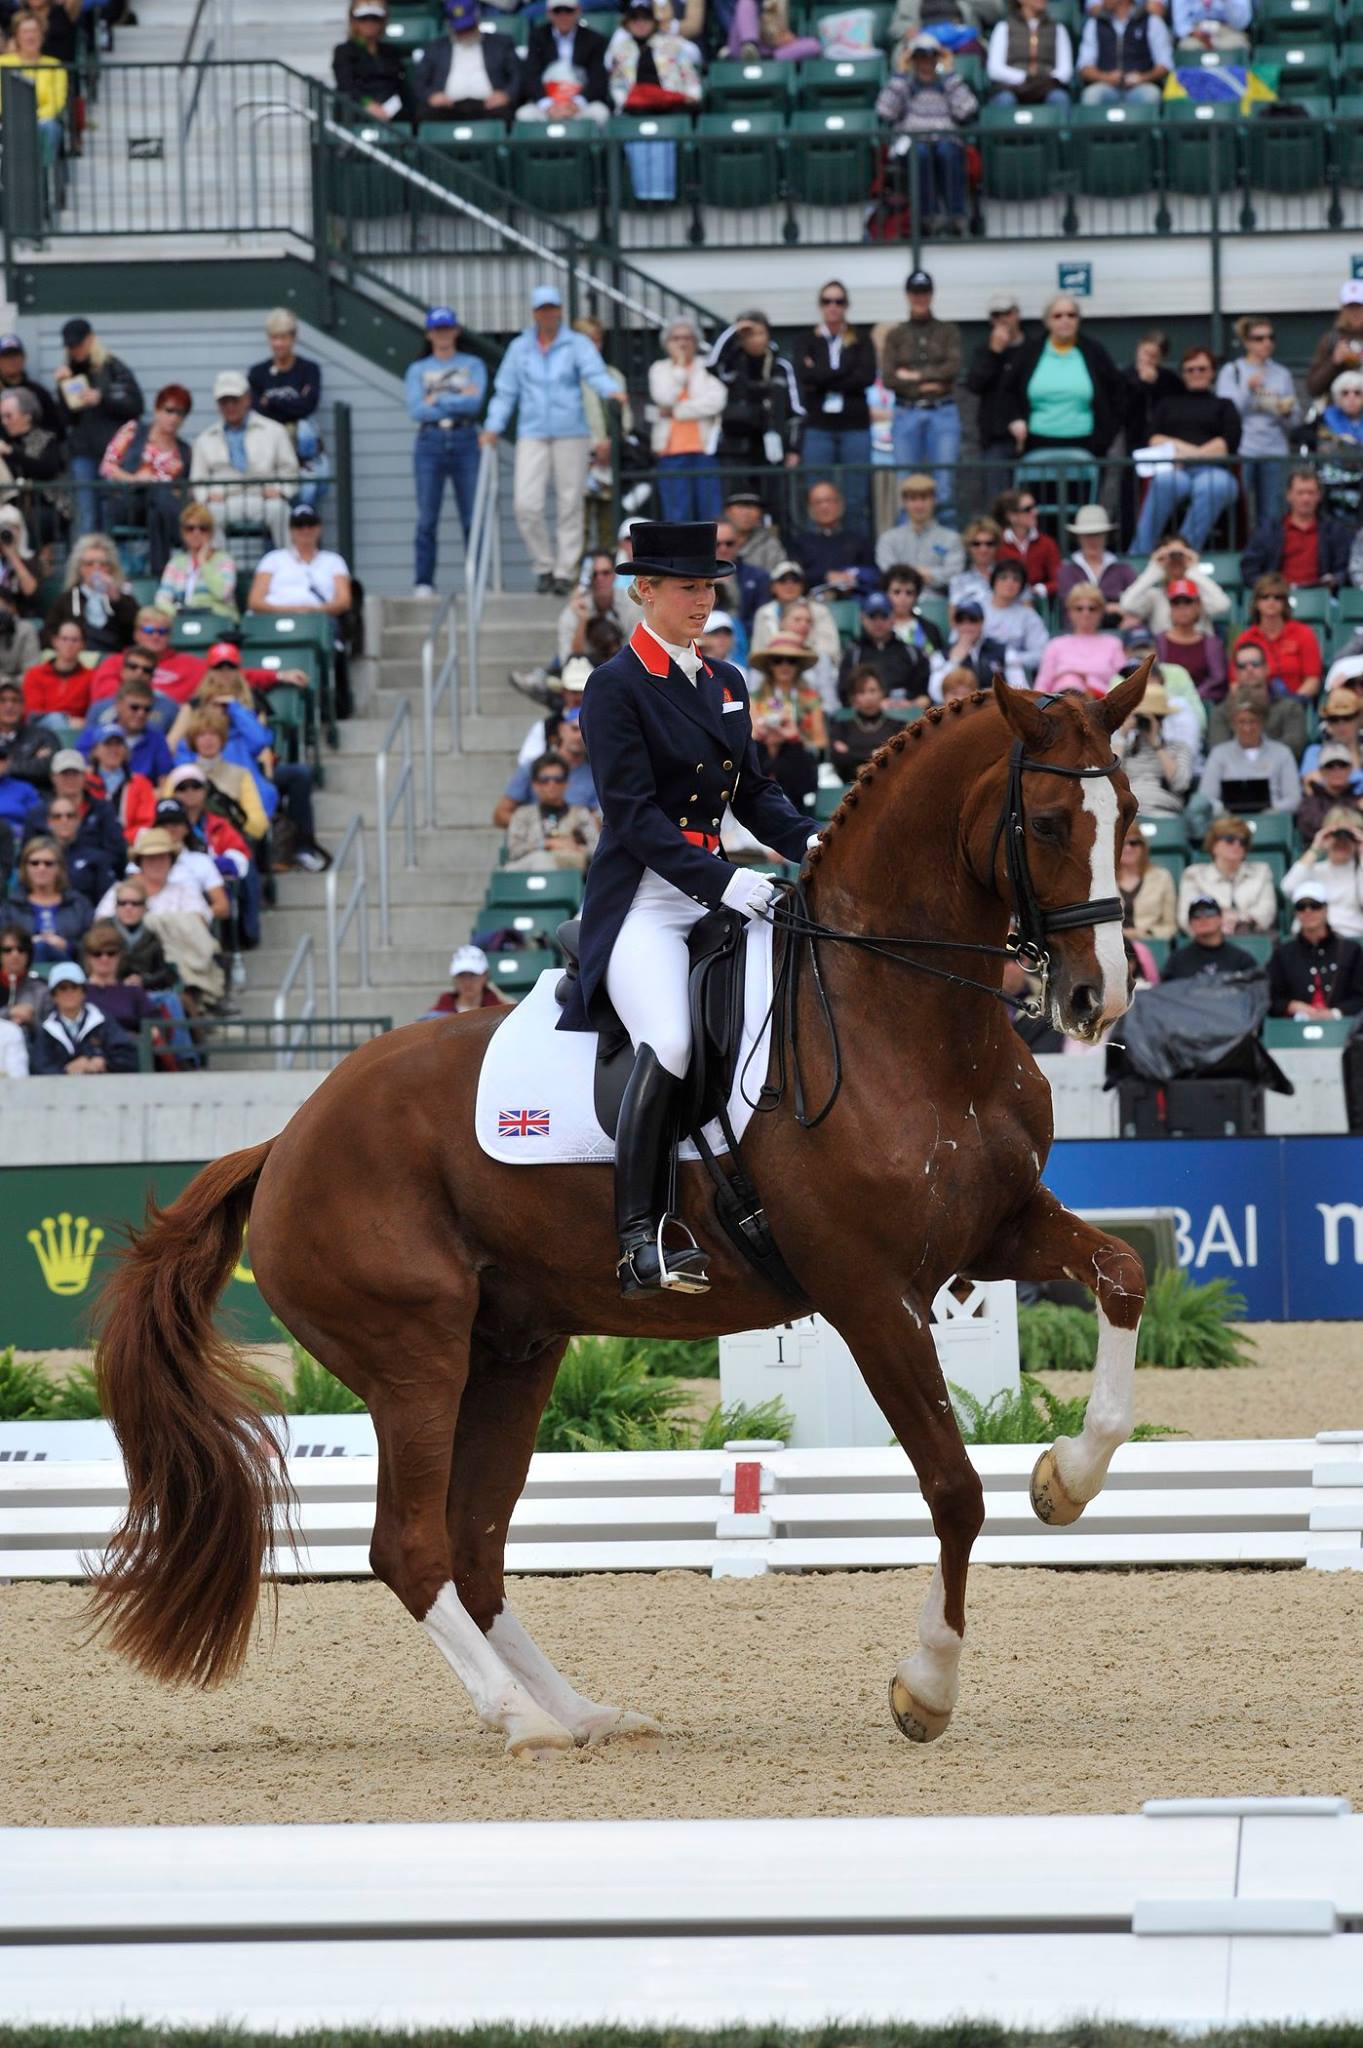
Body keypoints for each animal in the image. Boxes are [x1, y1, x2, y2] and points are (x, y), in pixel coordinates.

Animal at [90, 675, 1146, 1761]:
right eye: (1051, 821)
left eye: (1127, 816)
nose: (1095, 998)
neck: (902, 1012)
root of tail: (287, 1140)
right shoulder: (869, 1294)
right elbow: (953, 1488)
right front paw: (925, 1686)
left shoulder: (996, 1228)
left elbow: (1121, 1274)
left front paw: (1064, 1478)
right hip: (414, 1358)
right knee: (411, 1545)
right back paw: (519, 1718)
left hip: (512, 1352)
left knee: (474, 1544)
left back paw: (582, 1713)